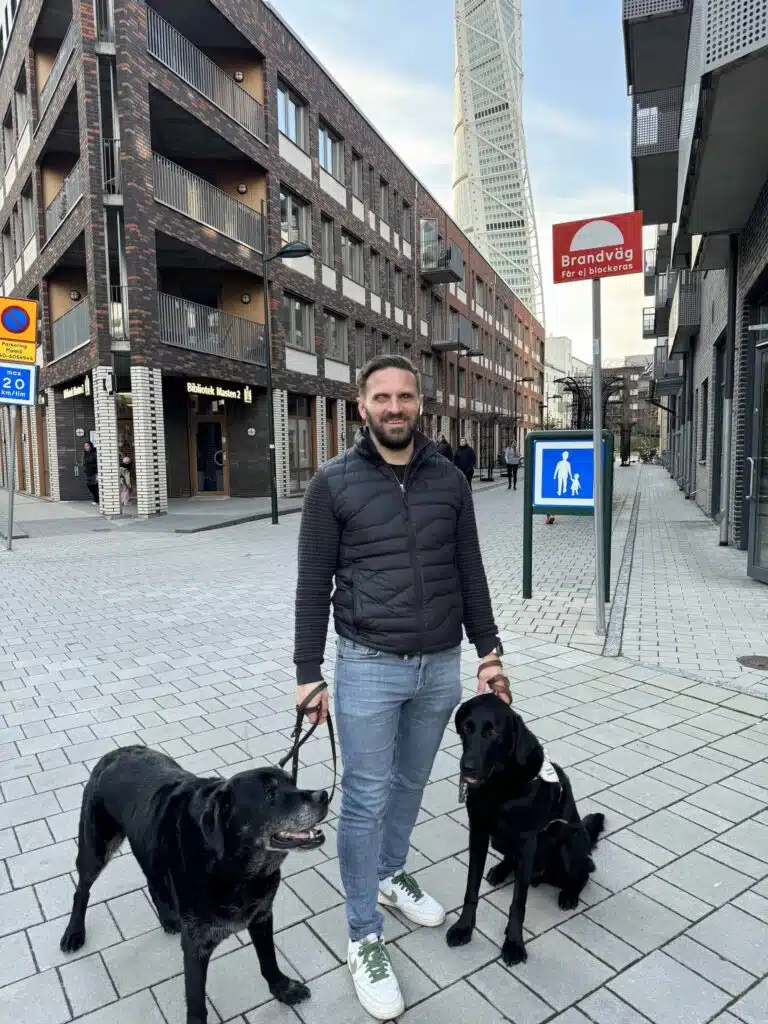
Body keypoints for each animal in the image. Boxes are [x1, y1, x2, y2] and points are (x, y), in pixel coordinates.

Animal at [57, 745, 327, 1024]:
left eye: (293, 782)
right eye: (269, 793)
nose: (323, 796)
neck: (235, 868)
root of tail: (118, 751)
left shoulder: (262, 916)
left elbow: (269, 960)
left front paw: (283, 988)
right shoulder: (196, 945)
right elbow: (196, 1000)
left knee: (153, 881)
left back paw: (168, 918)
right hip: (95, 848)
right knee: (82, 890)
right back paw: (74, 933)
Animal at [448, 692, 606, 962]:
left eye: (492, 732)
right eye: (466, 728)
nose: (467, 767)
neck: (499, 786)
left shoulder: (527, 842)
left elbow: (518, 903)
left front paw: (513, 944)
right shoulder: (478, 833)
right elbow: (471, 889)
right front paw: (464, 927)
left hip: (568, 847)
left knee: (586, 871)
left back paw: (570, 894)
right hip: (499, 842)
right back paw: (500, 870)